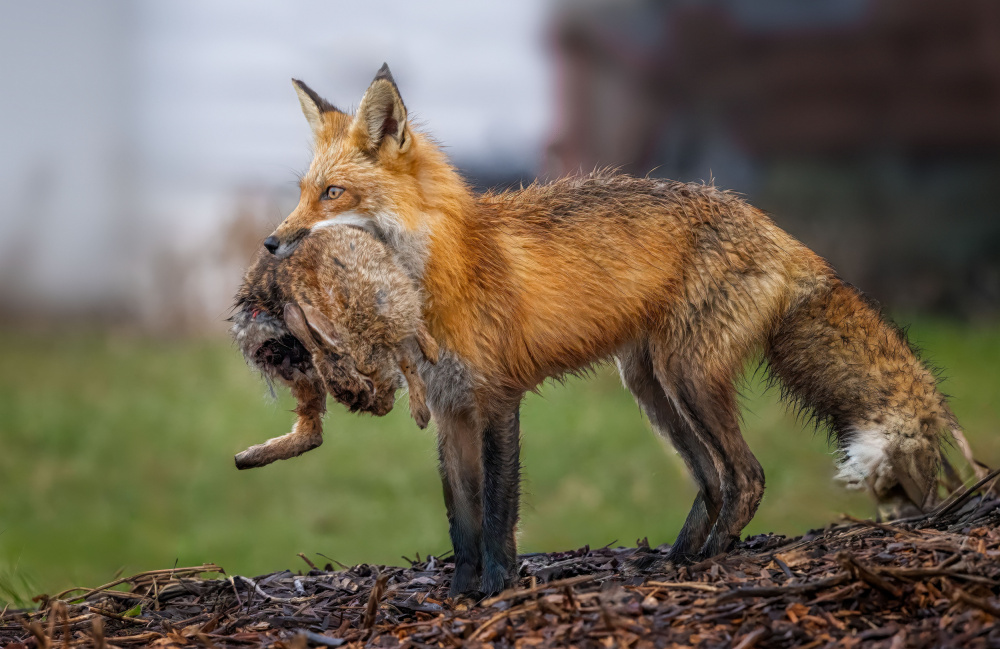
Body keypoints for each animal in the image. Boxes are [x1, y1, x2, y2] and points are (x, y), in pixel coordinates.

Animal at [230, 225, 439, 470]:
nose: (384, 408)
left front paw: (421, 411)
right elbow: (406, 361)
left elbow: (409, 357)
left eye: (369, 384)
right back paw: (247, 458)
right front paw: (421, 413)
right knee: (312, 432)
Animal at [256, 64, 990, 597]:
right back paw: (677, 558)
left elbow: (497, 511)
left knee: (747, 475)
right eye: (302, 191)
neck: (444, 273)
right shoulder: (450, 410)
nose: (270, 243)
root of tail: (778, 231)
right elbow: (460, 518)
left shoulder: (497, 400)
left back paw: (710, 562)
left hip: (688, 380)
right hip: (652, 389)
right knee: (715, 480)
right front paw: (461, 593)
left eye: (332, 195)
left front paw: (498, 589)